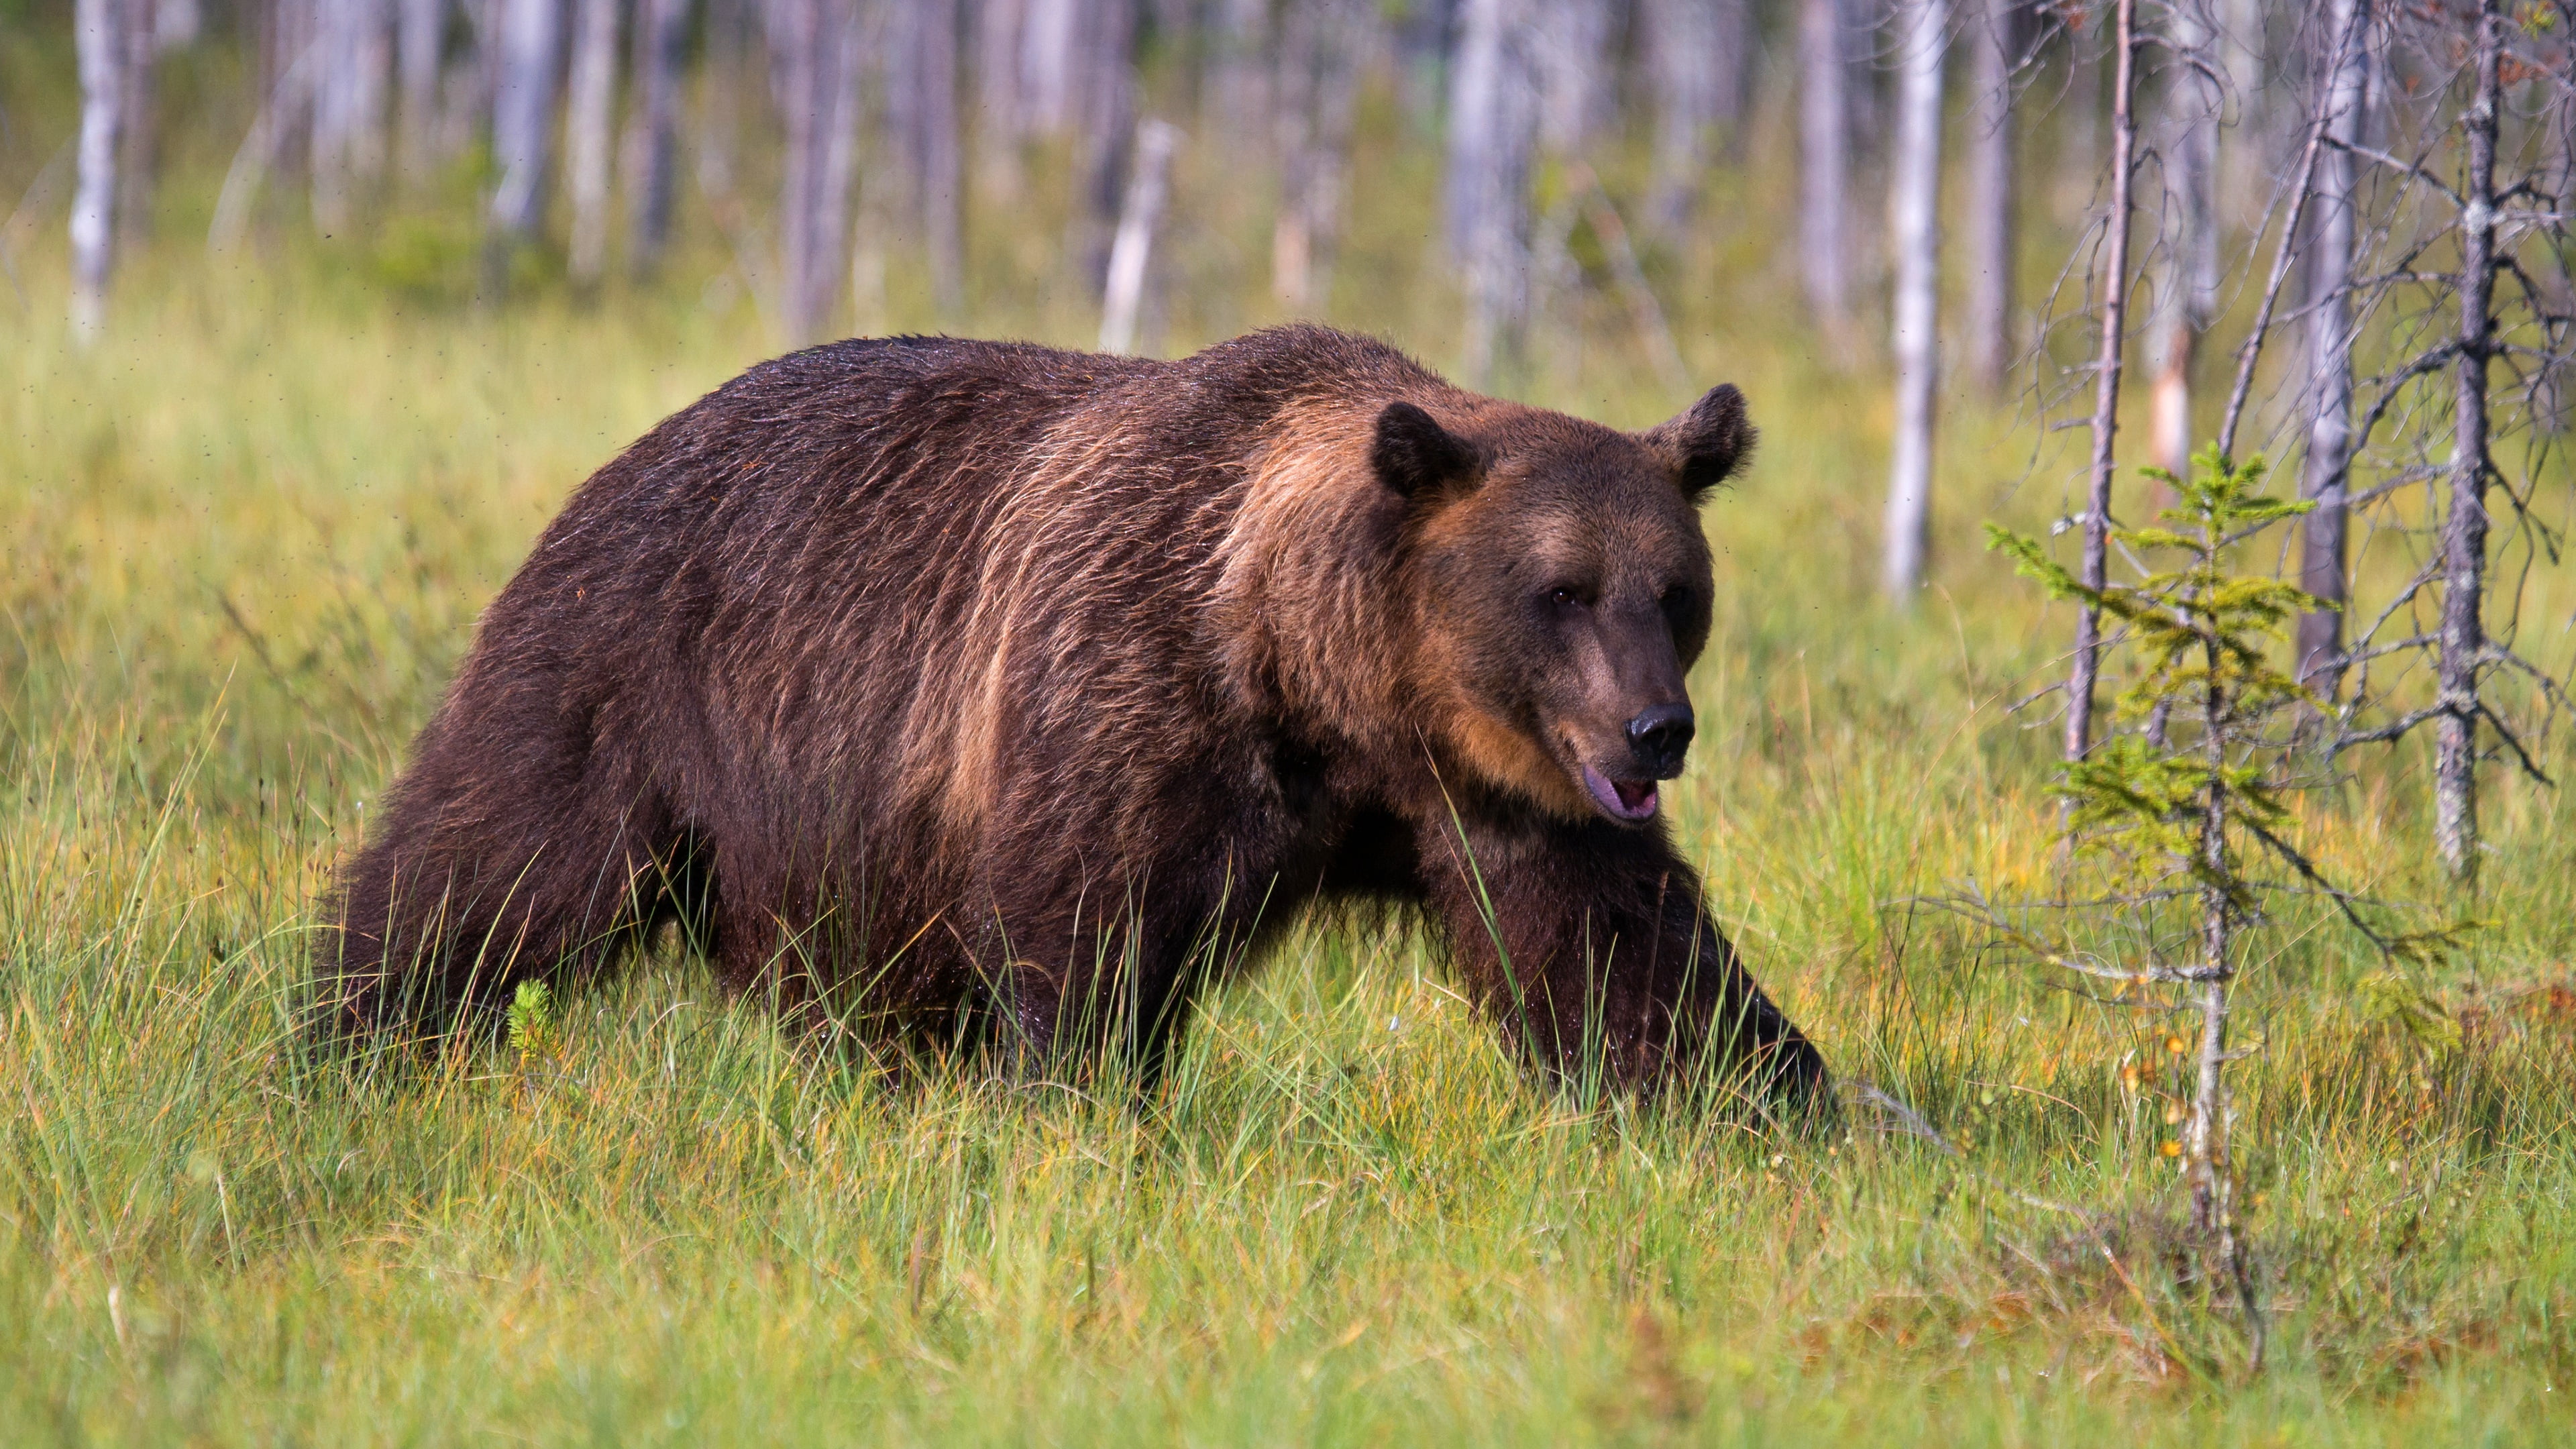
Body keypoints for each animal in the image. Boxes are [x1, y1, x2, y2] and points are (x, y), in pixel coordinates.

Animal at [317, 324, 1827, 1103]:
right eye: (1561, 589)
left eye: (1675, 590)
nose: (1658, 730)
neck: (1314, 678)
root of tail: (624, 452)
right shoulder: (1123, 680)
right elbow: (1083, 931)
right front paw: (1078, 1106)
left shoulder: (1493, 790)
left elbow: (1625, 963)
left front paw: (1786, 1101)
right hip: (634, 677)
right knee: (488, 865)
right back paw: (347, 1037)